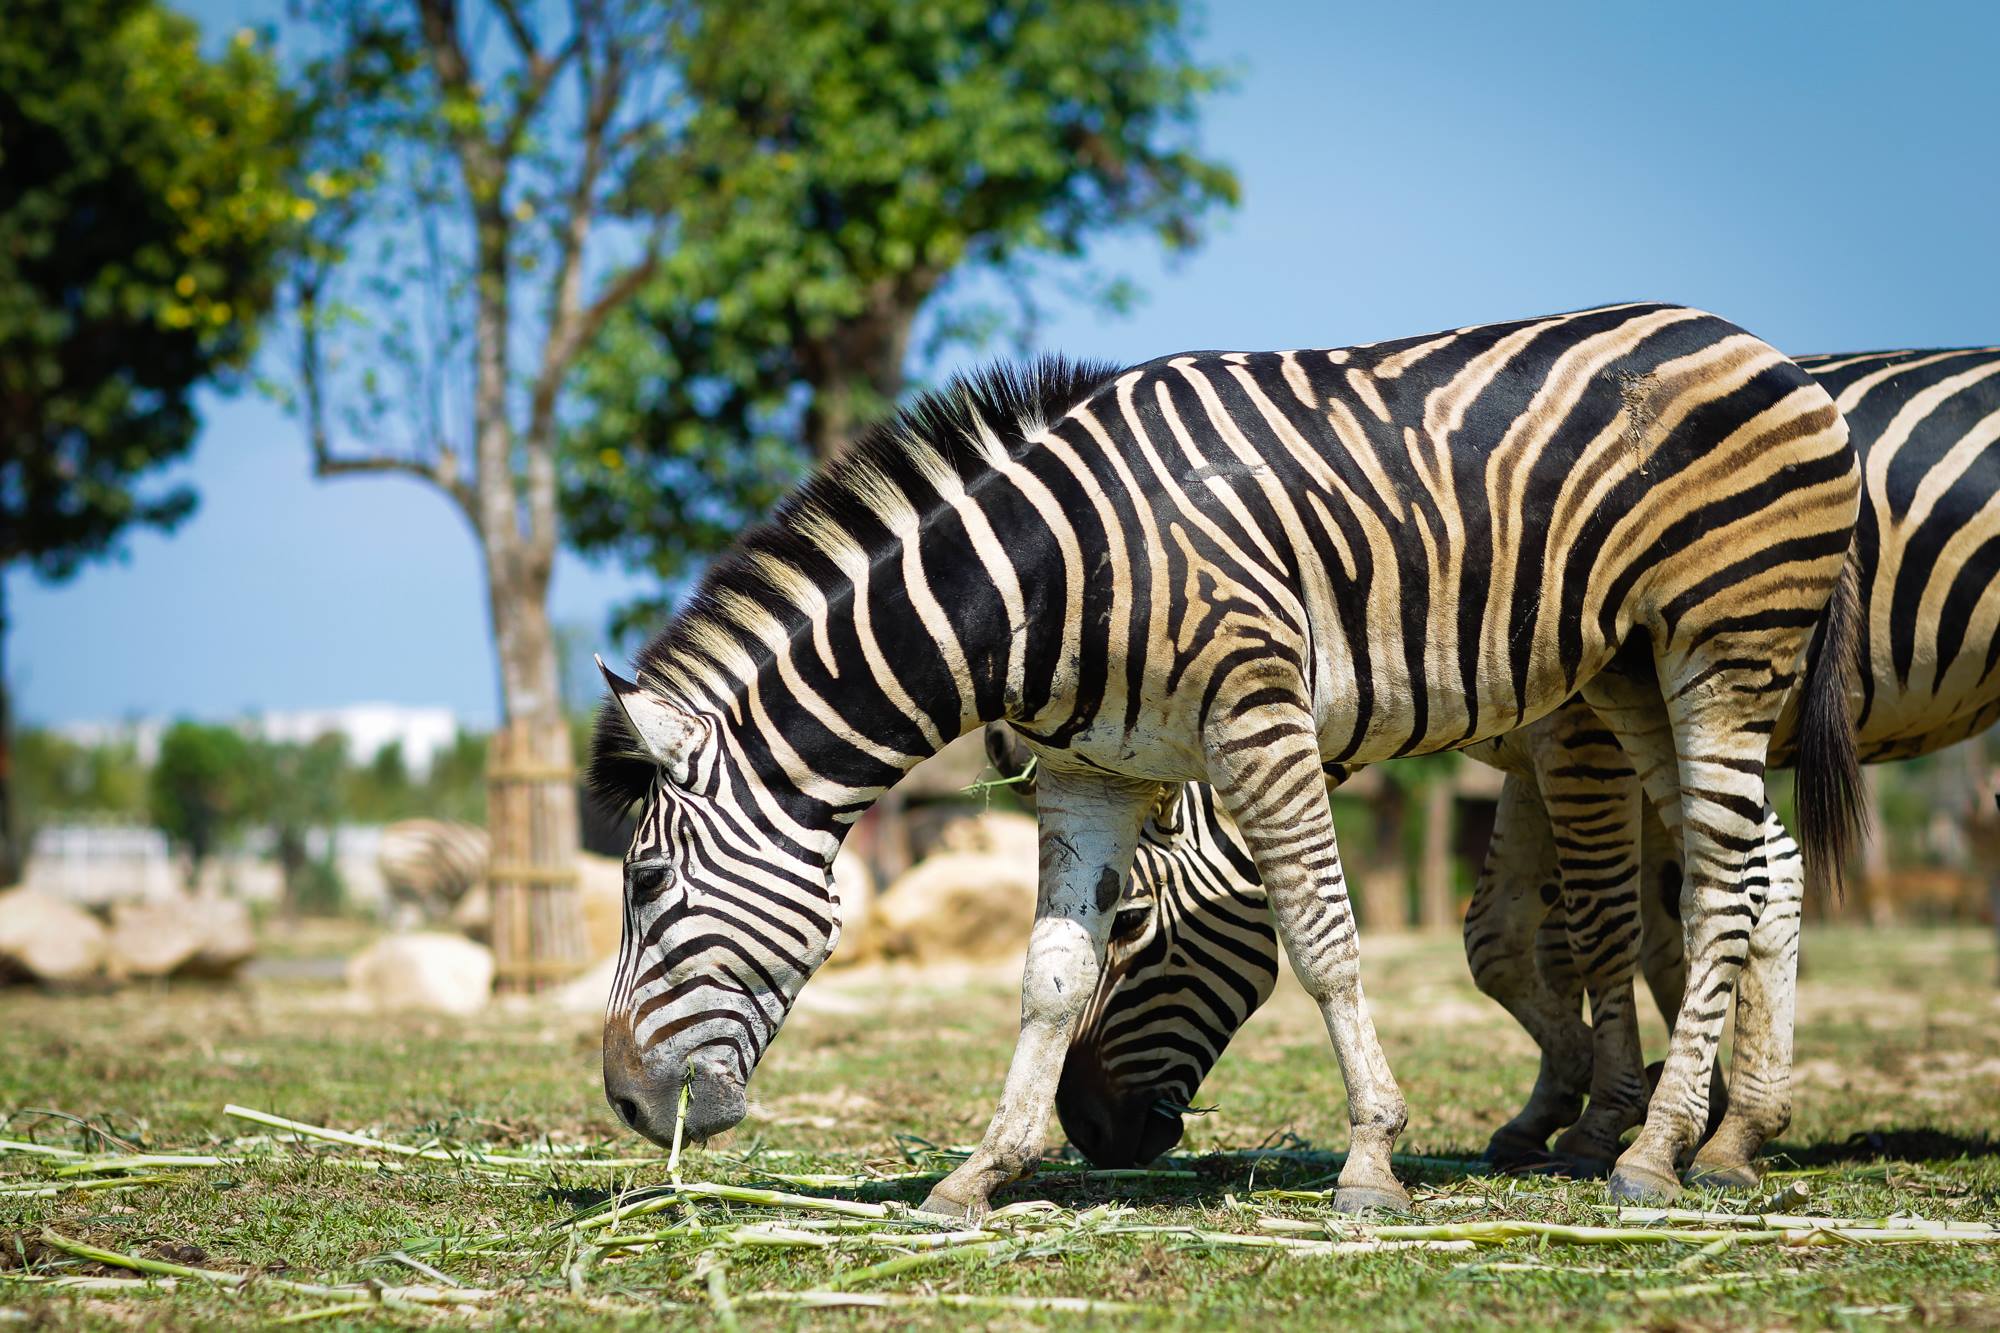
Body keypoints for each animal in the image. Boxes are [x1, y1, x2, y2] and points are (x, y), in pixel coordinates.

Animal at [588, 300, 1856, 1216]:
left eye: (643, 882)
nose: (626, 1105)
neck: (1046, 576)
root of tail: (1751, 342)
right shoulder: (1089, 774)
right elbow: (1047, 979)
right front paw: (979, 1174)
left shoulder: (1259, 717)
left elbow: (1325, 945)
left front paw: (1369, 1166)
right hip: (1632, 673)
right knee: (1748, 871)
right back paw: (1721, 1140)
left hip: (1725, 651)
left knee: (1718, 885)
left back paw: (1655, 1155)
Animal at [1056, 342, 1992, 1184]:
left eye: (1131, 921)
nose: (1085, 1127)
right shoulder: (1528, 758)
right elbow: (1505, 939)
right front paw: (1592, 1101)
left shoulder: (1578, 736)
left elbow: (1608, 926)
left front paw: (1622, 1112)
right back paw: (1732, 1129)